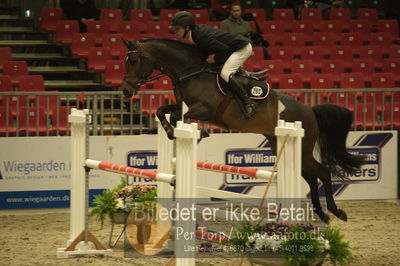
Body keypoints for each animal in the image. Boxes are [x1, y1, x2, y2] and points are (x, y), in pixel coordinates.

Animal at [121, 38, 366, 223]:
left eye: (133, 60)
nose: (125, 91)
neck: (190, 72)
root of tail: (311, 111)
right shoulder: (181, 105)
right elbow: (163, 111)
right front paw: (171, 131)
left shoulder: (204, 110)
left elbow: (185, 118)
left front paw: (199, 133)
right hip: (283, 147)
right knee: (311, 176)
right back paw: (322, 214)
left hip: (301, 148)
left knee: (322, 172)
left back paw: (335, 211)